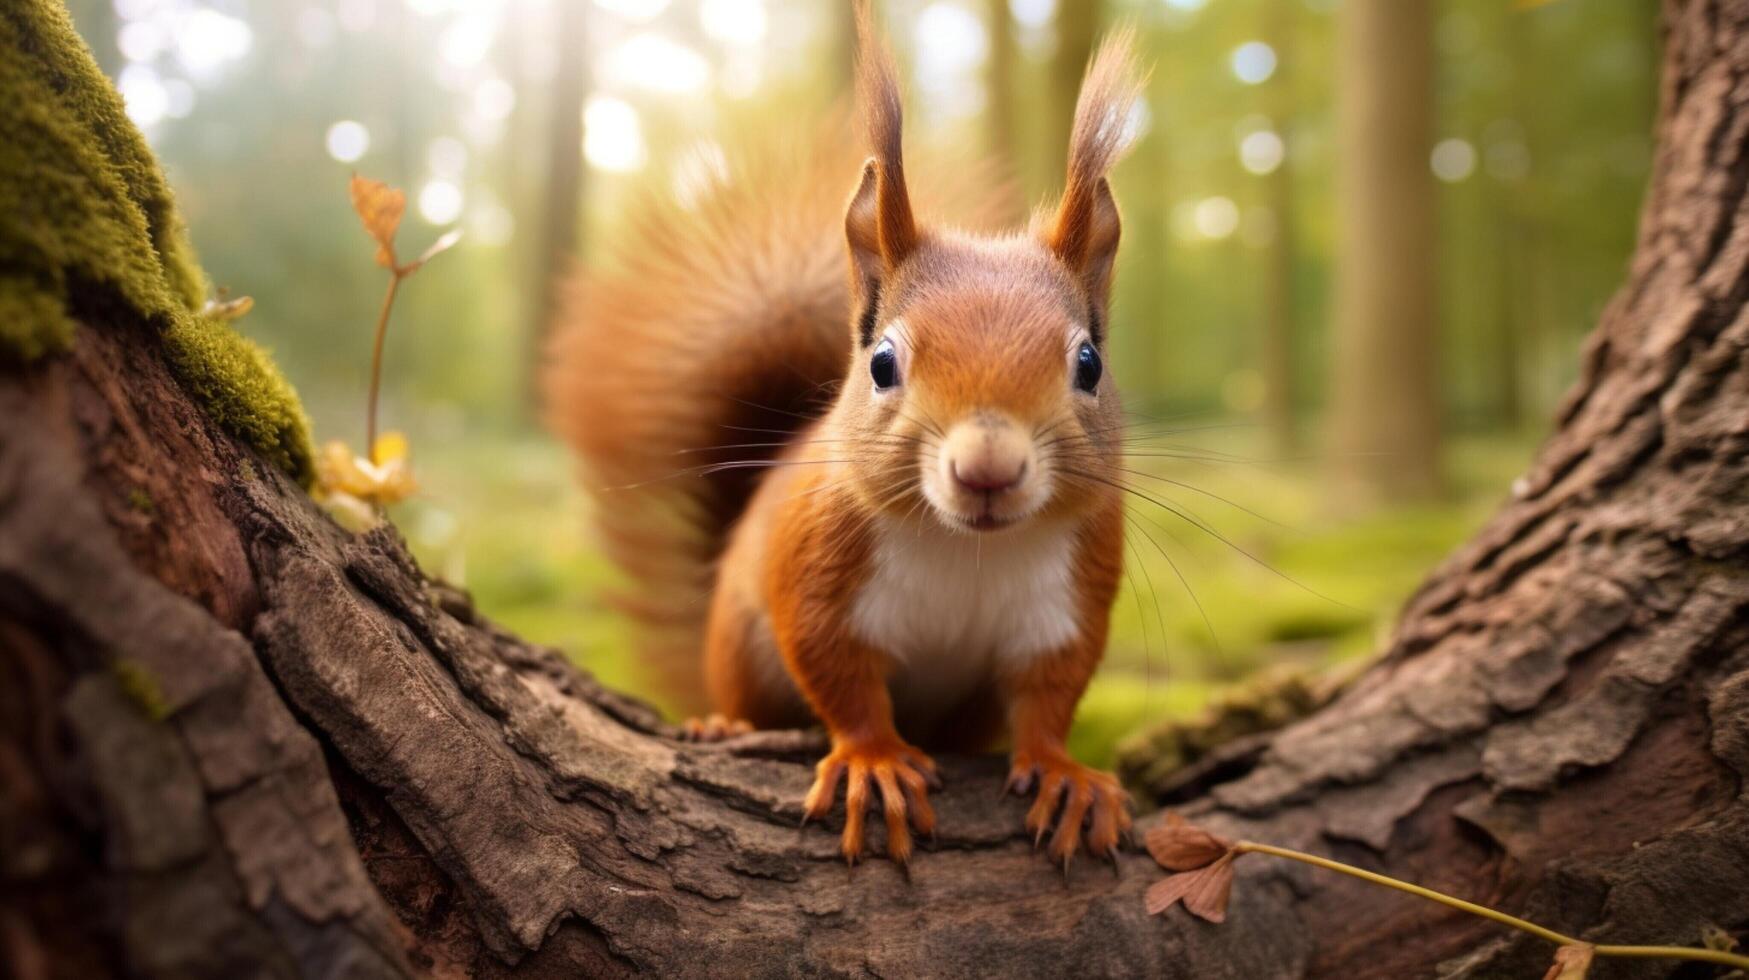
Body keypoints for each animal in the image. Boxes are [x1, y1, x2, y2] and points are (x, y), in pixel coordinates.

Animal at [549, 5, 1147, 864]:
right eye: (883, 363)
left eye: (1090, 364)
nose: (988, 469)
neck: (966, 549)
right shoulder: (818, 566)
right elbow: (836, 672)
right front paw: (874, 761)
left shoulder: (1067, 598)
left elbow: (1050, 695)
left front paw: (1065, 773)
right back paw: (721, 722)